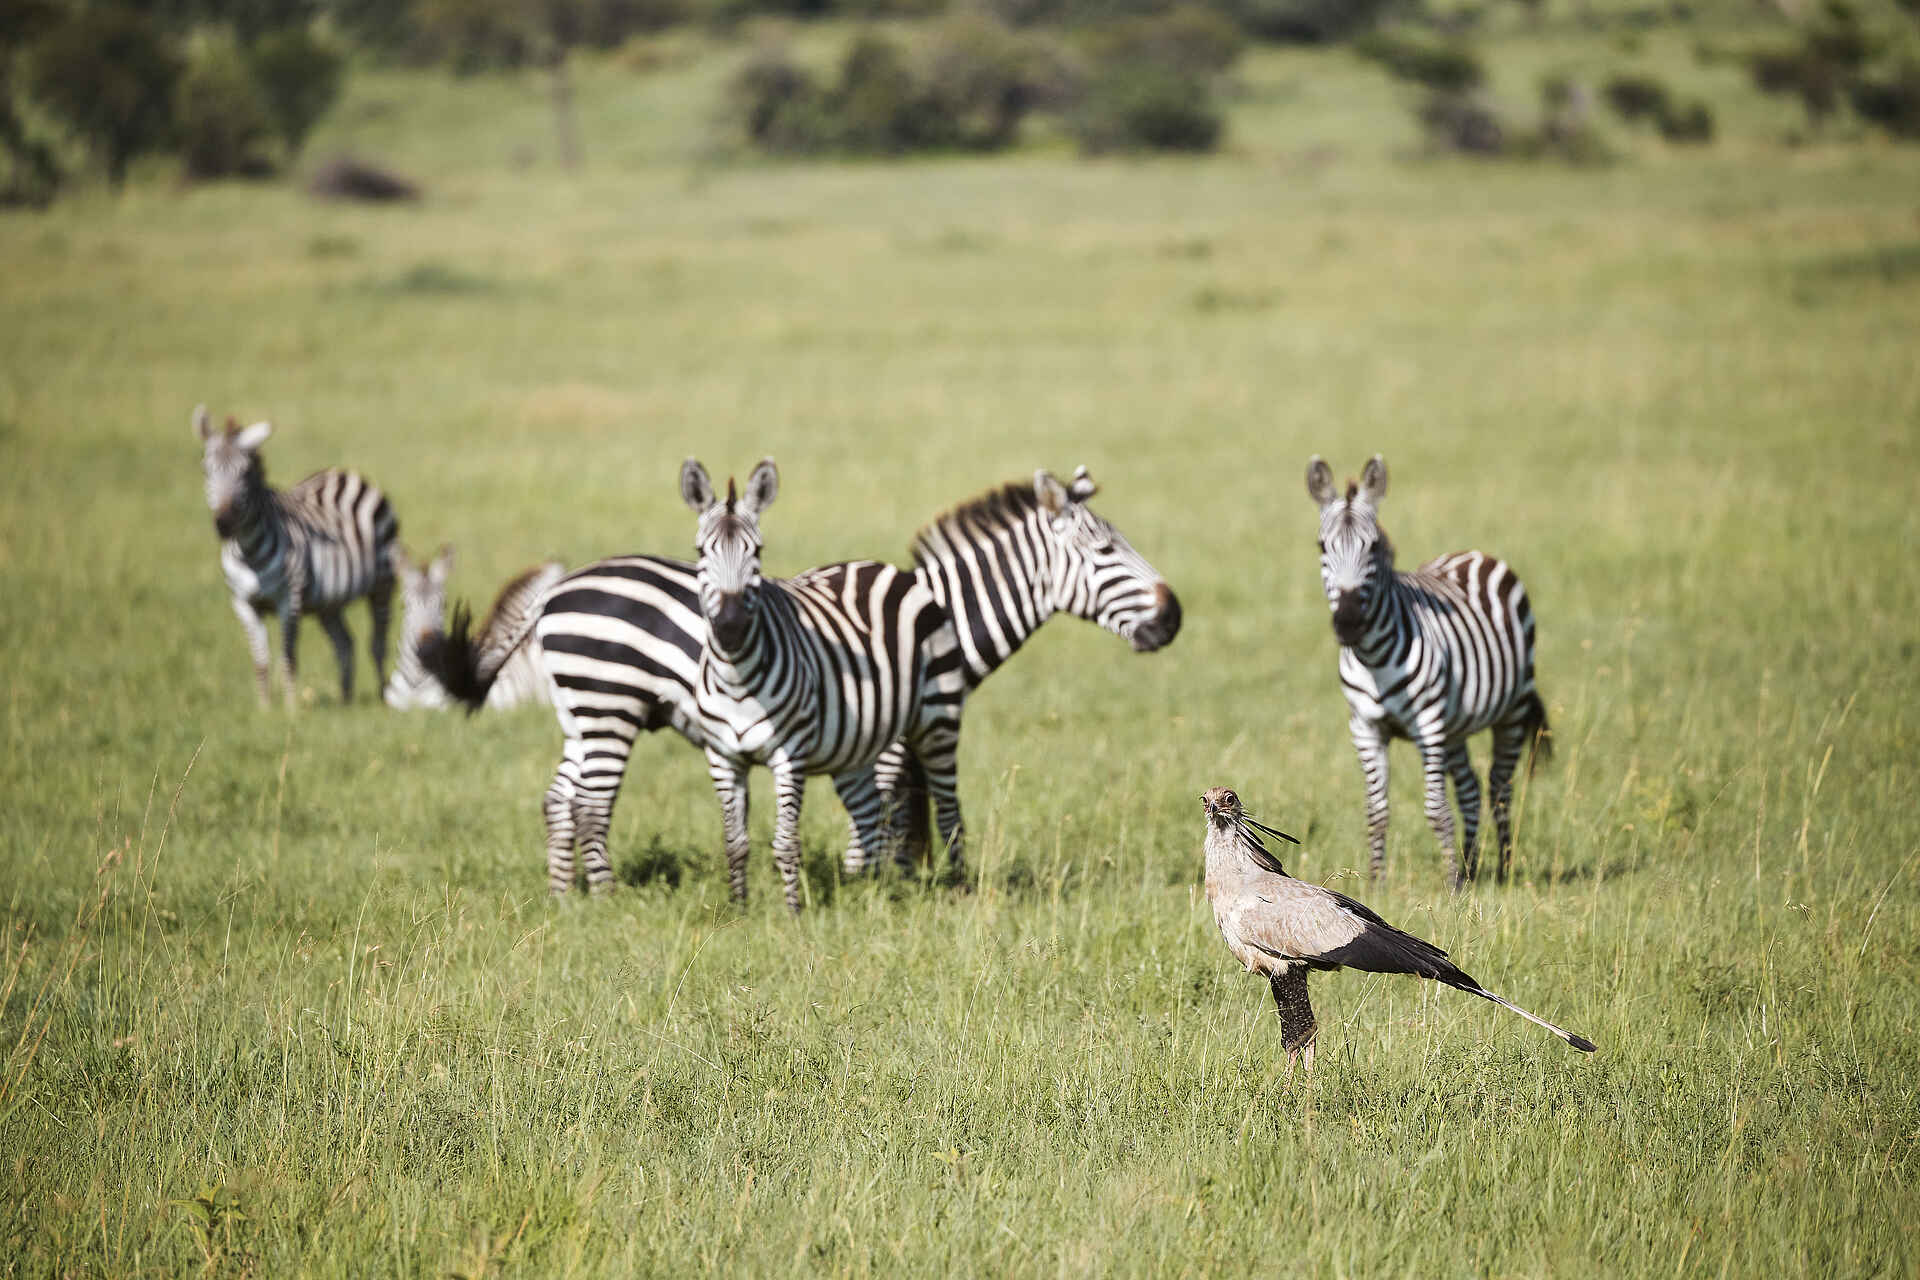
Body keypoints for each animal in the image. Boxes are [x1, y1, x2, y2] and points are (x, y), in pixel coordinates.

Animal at [195, 405, 398, 707]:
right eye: (207, 470)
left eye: (245, 472)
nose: (224, 524)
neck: (248, 554)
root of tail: (344, 472)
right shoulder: (243, 604)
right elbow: (260, 661)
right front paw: (265, 708)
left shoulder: (288, 600)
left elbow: (288, 657)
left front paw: (291, 709)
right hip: (328, 602)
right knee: (345, 644)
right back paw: (345, 700)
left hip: (382, 584)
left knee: (378, 644)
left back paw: (384, 697)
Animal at [422, 463, 1180, 898]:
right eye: (1106, 550)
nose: (1173, 616)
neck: (937, 612)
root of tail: (555, 594)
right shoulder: (891, 733)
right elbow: (890, 809)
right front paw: (873, 880)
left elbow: (874, 809)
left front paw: (866, 881)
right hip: (608, 707)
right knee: (589, 804)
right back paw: (601, 896)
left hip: (582, 713)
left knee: (558, 799)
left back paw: (565, 895)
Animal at [1306, 454, 1549, 888]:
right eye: (1322, 546)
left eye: (1373, 546)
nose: (1348, 623)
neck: (1372, 657)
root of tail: (1472, 553)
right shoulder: (1365, 728)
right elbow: (1377, 810)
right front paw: (1377, 882)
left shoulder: (1428, 724)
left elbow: (1436, 809)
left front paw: (1451, 887)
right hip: (1456, 727)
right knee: (1470, 789)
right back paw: (1471, 867)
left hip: (1512, 709)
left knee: (1499, 788)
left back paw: (1502, 869)